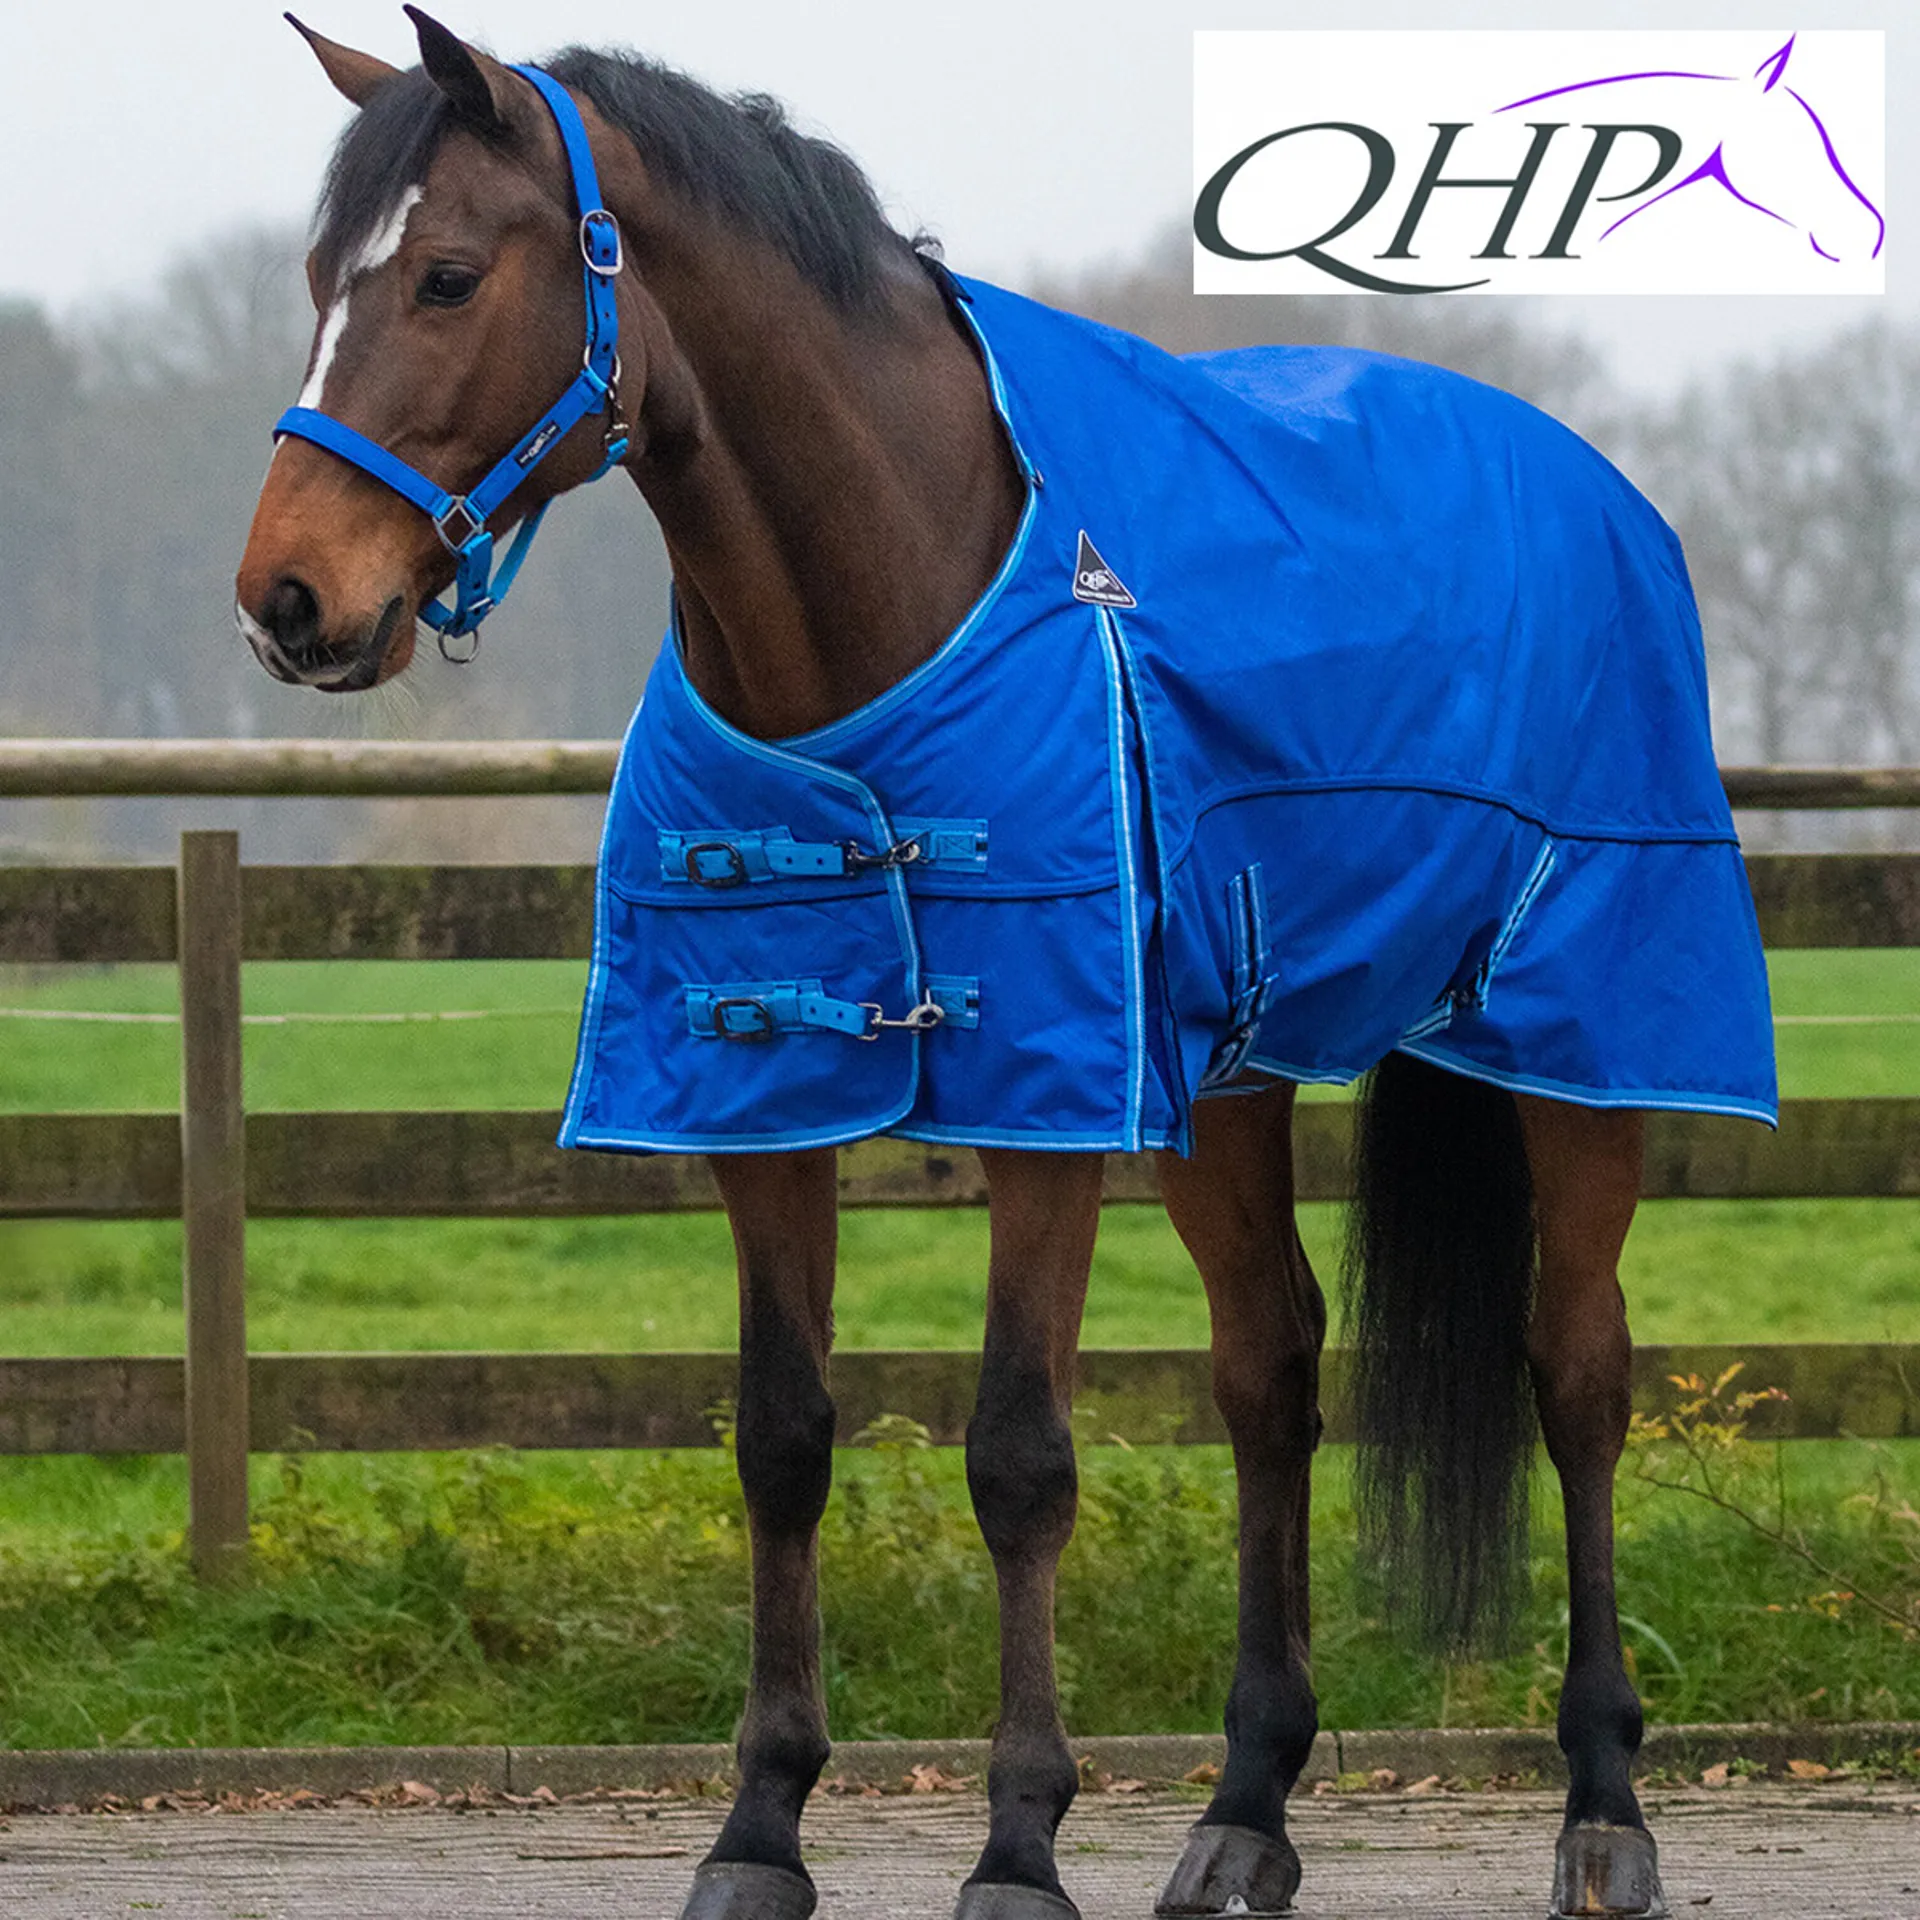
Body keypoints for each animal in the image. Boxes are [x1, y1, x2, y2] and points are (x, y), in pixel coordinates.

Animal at [235, 13, 1778, 1918]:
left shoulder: (1050, 1099)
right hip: (1225, 1085)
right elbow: (781, 1441)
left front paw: (1021, 1846)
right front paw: (759, 1831)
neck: (886, 596)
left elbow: (1020, 1457)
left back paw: (1604, 1807)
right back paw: (1243, 1813)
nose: (288, 599)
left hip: (1574, 1046)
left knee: (1576, 1377)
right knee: (1271, 1378)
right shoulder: (763, 1105)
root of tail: (1593, 486)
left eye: (447, 275)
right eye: (321, 279)